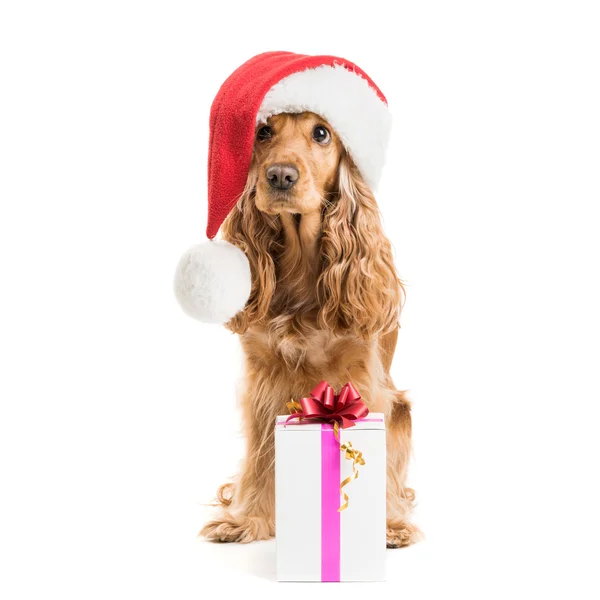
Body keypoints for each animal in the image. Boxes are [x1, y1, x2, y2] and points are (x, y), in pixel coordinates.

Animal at [199, 110, 420, 548]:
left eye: (321, 133)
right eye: (264, 131)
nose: (280, 175)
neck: (302, 264)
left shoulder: (365, 384)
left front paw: (388, 525)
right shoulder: (263, 381)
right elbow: (259, 457)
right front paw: (247, 519)